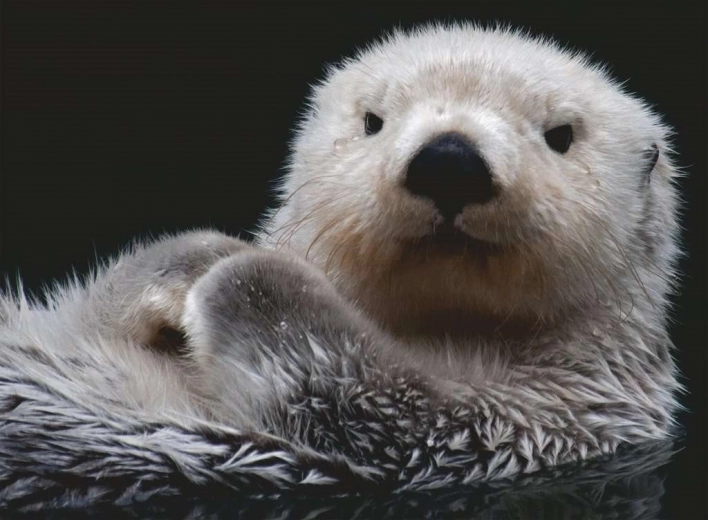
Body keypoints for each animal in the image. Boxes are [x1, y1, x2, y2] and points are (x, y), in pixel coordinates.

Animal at [0, 24, 681, 508]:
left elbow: (366, 394)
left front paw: (242, 273)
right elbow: (92, 309)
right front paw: (194, 259)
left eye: (561, 135)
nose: (450, 160)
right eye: (373, 120)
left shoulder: (535, 421)